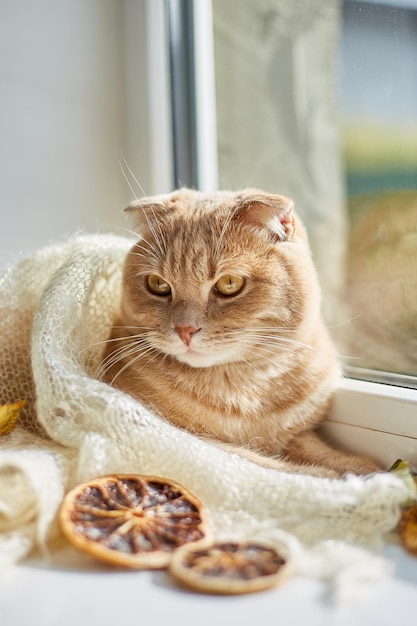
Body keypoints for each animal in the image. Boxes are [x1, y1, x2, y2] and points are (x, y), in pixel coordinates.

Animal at [100, 188, 376, 476]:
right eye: (158, 284)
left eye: (229, 283)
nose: (185, 329)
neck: (247, 389)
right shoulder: (185, 439)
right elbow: (269, 465)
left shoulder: (296, 434)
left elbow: (313, 449)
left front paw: (361, 467)